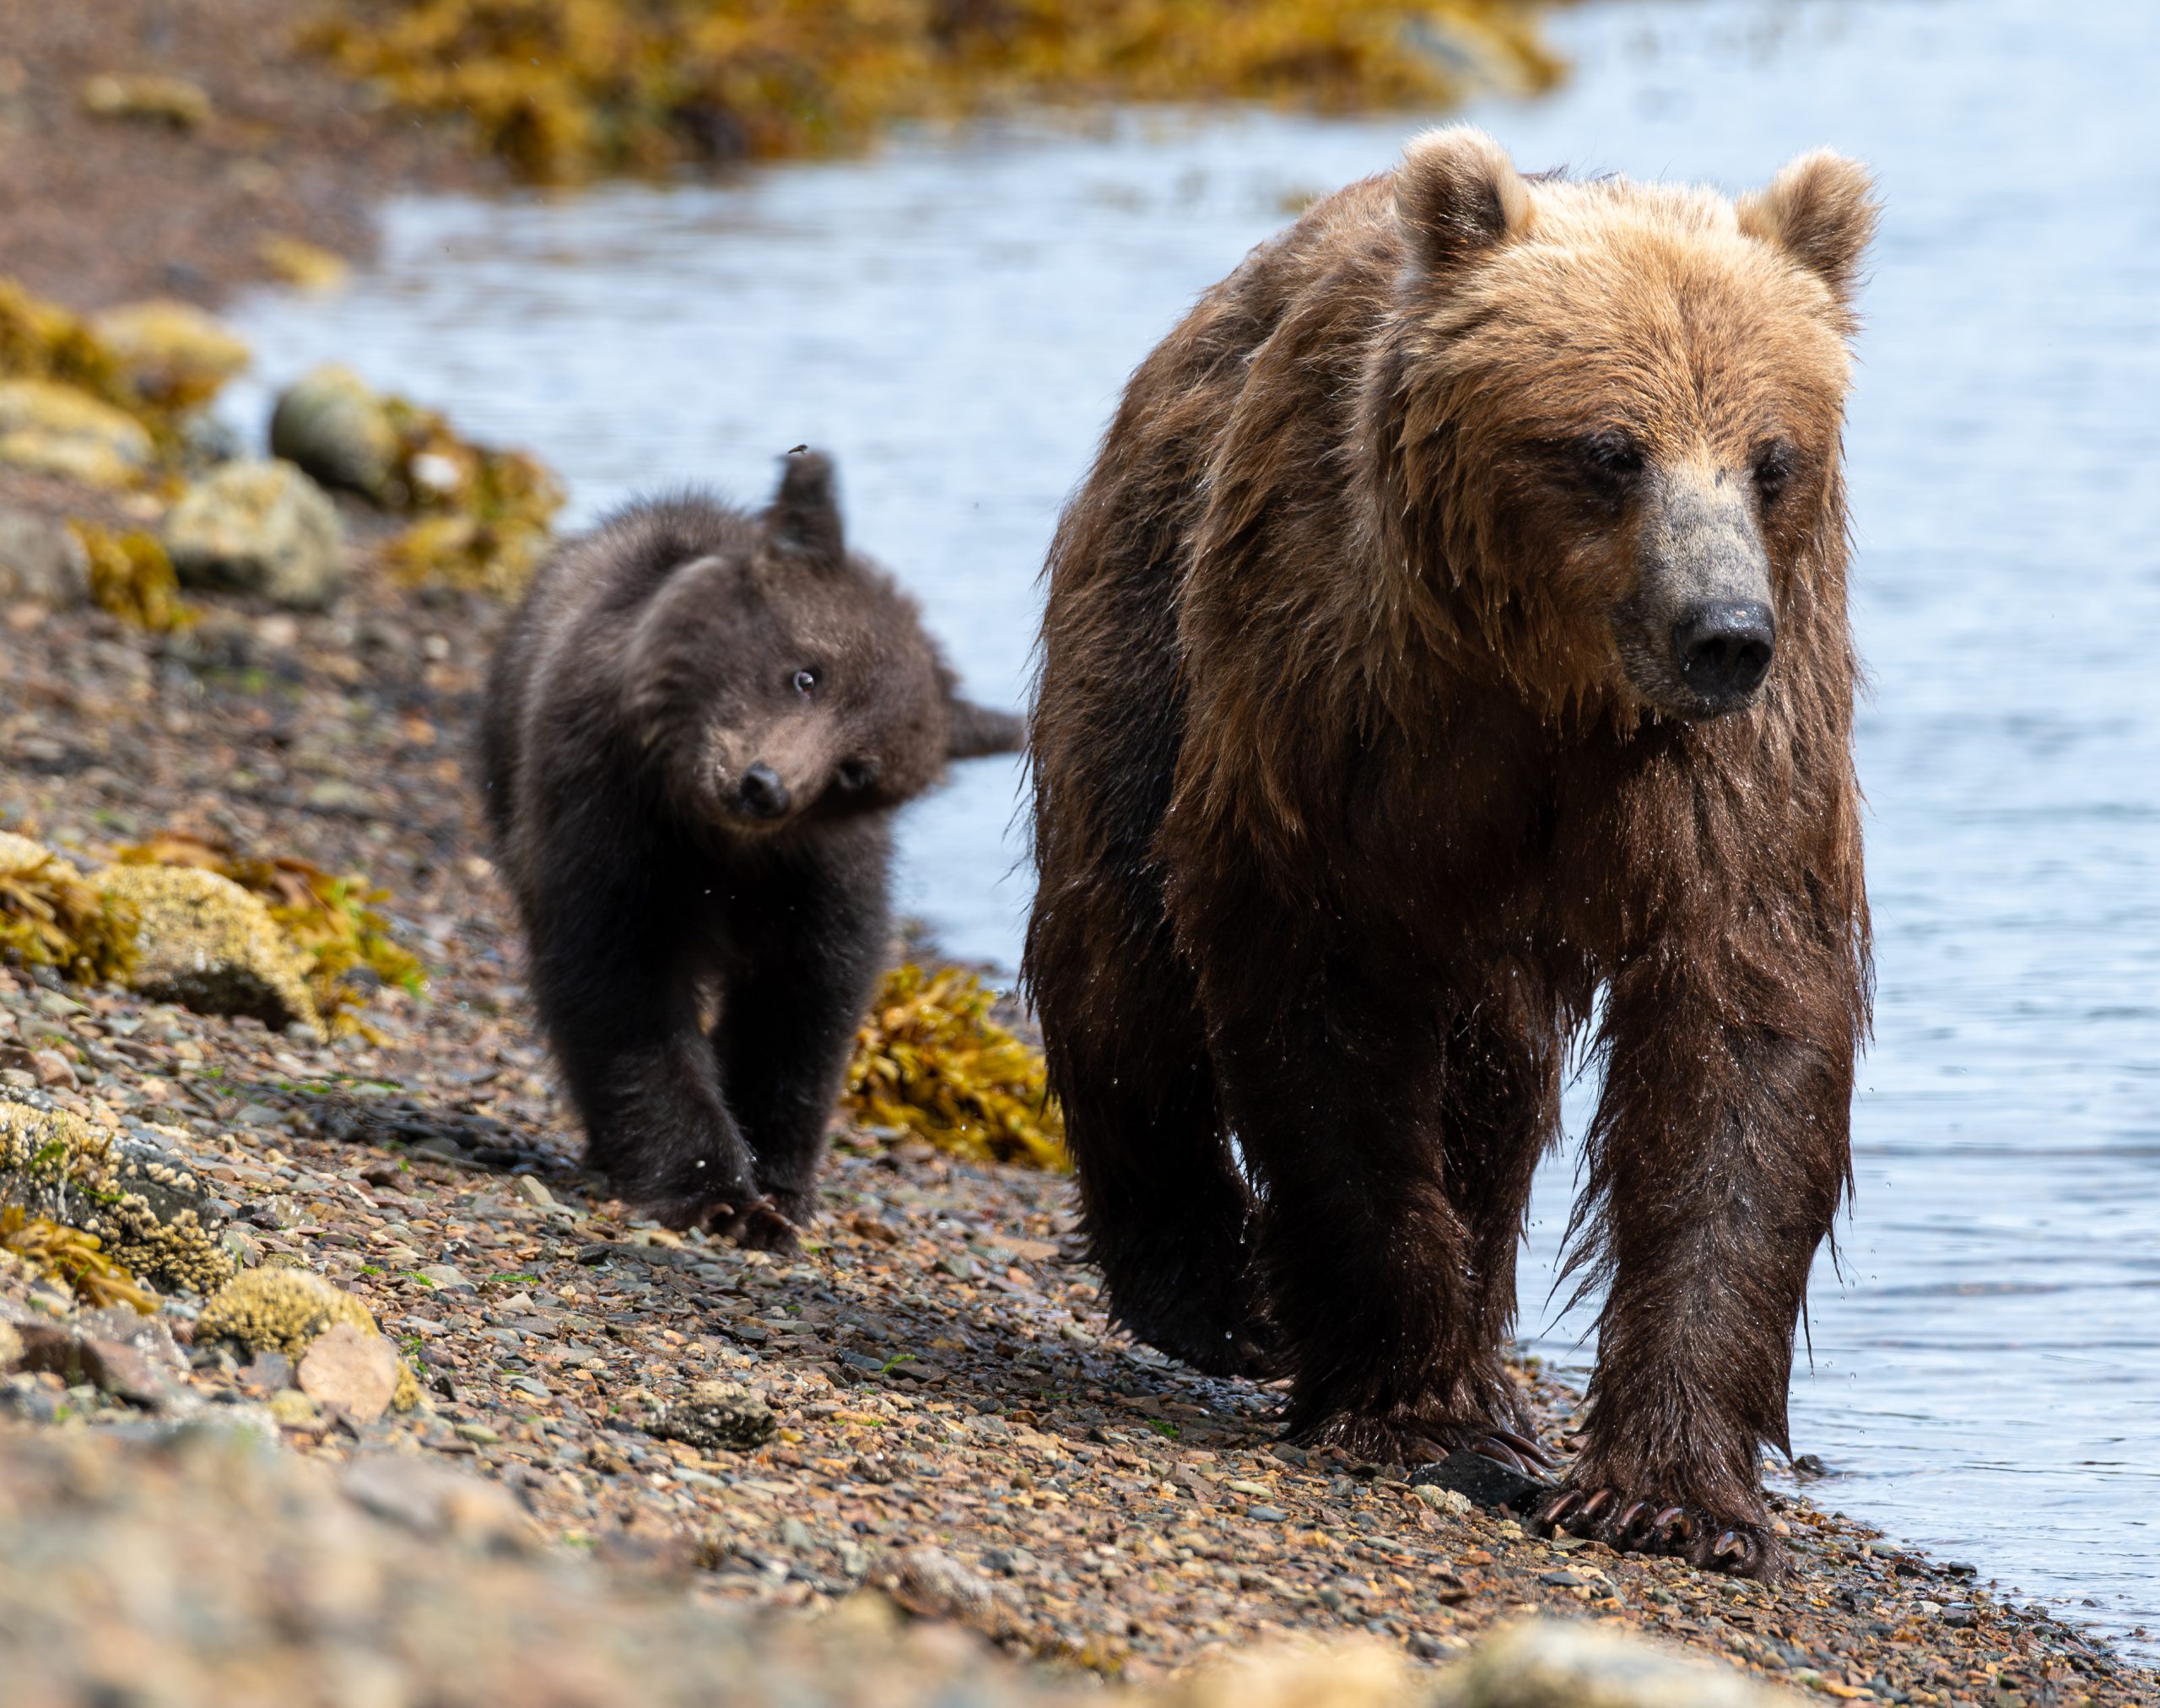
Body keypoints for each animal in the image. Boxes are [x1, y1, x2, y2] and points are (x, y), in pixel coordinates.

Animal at [481, 451, 1022, 1249]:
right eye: (806, 672)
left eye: (857, 770)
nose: (764, 786)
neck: (717, 841)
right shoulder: (609, 814)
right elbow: (621, 986)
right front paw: (712, 1189)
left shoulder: (815, 871)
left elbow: (804, 1000)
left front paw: (777, 1189)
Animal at [1023, 128, 1877, 1579]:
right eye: (1609, 448)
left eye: (1772, 456)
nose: (1721, 632)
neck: (1549, 683)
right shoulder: (1340, 704)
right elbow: (1325, 1018)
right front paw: (1414, 1408)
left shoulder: (1740, 756)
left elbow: (1743, 1035)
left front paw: (1671, 1493)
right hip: (1150, 611)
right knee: (1118, 933)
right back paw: (1212, 1290)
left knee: (1493, 1079)